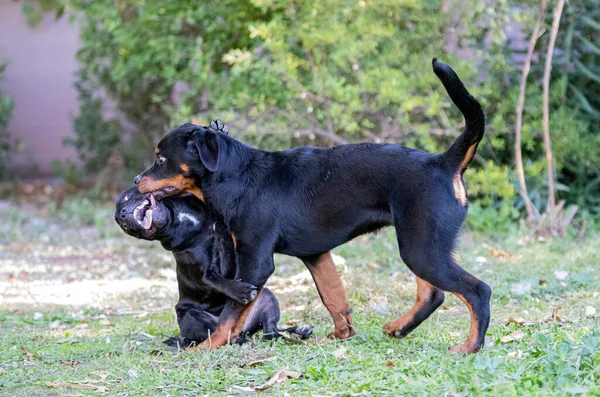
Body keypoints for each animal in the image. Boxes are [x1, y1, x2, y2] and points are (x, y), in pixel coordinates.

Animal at [114, 186, 312, 344]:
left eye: (126, 197)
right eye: (124, 226)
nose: (122, 215)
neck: (180, 219)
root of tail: (244, 329)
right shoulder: (206, 271)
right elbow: (219, 280)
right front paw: (241, 291)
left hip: (267, 298)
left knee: (270, 331)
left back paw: (297, 332)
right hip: (192, 316)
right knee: (223, 333)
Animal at [136, 59, 492, 352]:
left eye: (161, 159)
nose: (138, 179)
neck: (236, 175)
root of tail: (444, 162)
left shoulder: (255, 260)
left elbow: (231, 314)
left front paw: (205, 349)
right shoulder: (316, 254)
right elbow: (334, 298)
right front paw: (340, 336)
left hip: (420, 247)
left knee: (478, 291)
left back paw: (468, 347)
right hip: (422, 245)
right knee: (433, 293)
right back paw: (399, 328)